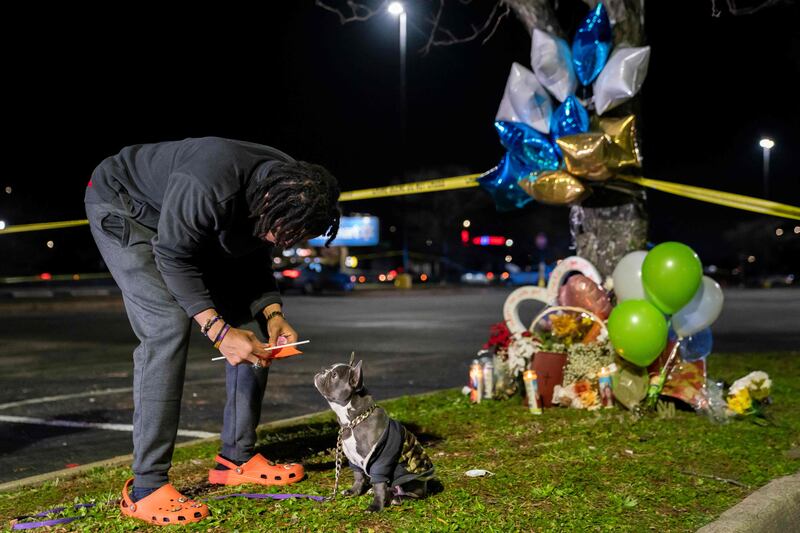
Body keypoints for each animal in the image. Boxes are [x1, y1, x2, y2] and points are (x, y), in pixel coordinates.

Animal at [314, 358, 438, 512]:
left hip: (409, 479)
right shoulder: (353, 460)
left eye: (334, 375)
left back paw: (398, 498)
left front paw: (375, 506)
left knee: (412, 494)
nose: (323, 371)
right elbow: (358, 476)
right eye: (330, 369)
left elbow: (379, 485)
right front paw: (354, 491)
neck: (354, 421)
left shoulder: (380, 461)